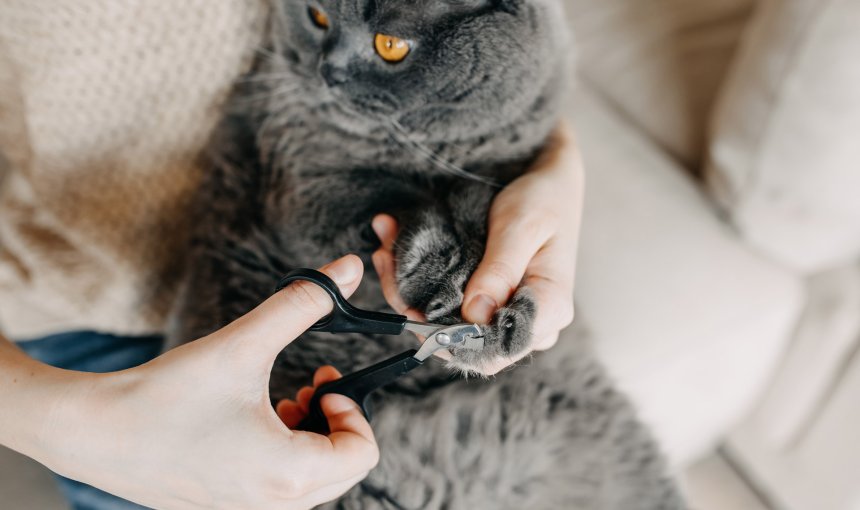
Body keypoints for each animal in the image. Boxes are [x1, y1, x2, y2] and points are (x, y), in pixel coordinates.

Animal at [173, 0, 684, 508]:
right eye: (317, 17)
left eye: (390, 45)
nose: (328, 71)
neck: (431, 148)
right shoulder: (307, 180)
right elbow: (402, 201)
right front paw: (440, 277)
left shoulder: (507, 169)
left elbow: (477, 206)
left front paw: (503, 322)